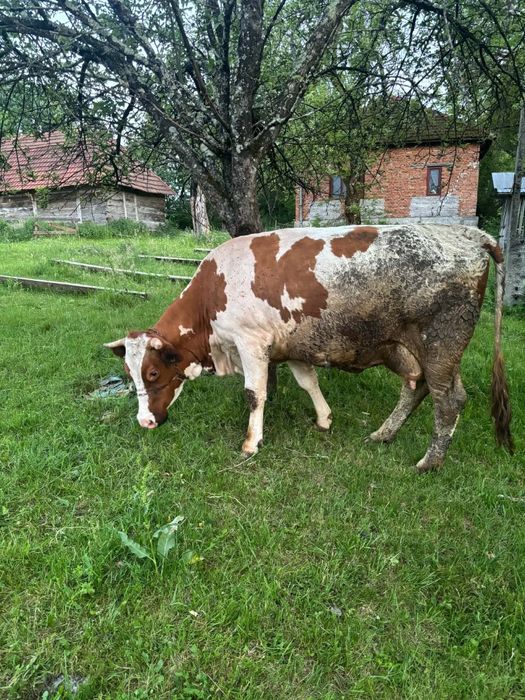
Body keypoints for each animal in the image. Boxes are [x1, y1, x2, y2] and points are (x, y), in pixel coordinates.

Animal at [105, 224, 513, 472]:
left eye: (153, 372)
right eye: (129, 372)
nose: (144, 421)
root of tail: (467, 232)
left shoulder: (251, 343)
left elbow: (255, 394)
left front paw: (251, 443)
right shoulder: (293, 346)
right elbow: (309, 382)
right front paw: (324, 418)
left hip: (440, 344)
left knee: (449, 400)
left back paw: (430, 461)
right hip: (407, 348)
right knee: (416, 387)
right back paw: (384, 434)